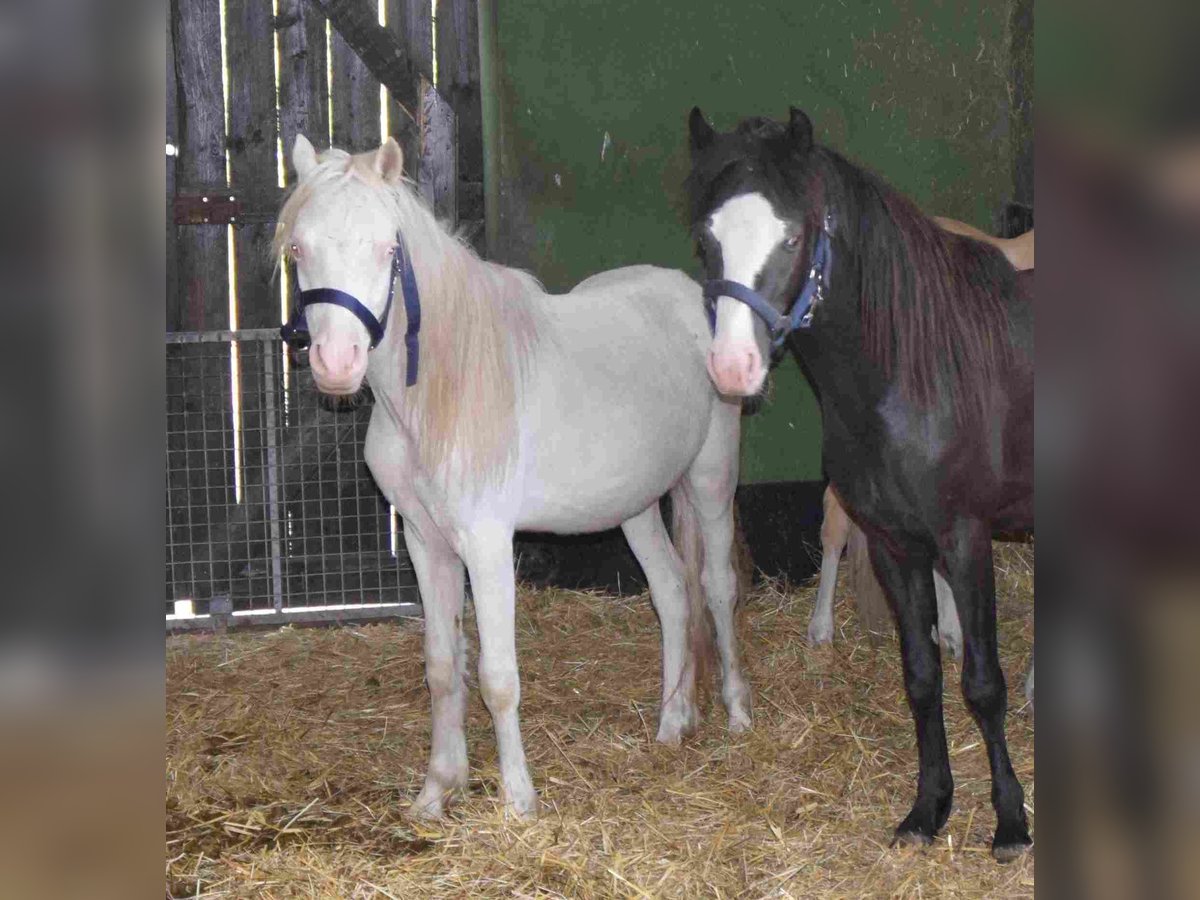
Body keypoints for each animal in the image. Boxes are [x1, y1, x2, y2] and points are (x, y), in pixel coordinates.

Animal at [275, 135, 749, 820]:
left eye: (387, 248)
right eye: (298, 249)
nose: (337, 365)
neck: (437, 394)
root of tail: (693, 297)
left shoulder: (487, 545)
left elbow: (498, 677)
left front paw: (518, 801)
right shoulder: (425, 542)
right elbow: (443, 666)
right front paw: (437, 790)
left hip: (711, 482)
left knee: (715, 587)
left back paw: (737, 713)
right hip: (636, 505)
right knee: (671, 593)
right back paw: (671, 722)